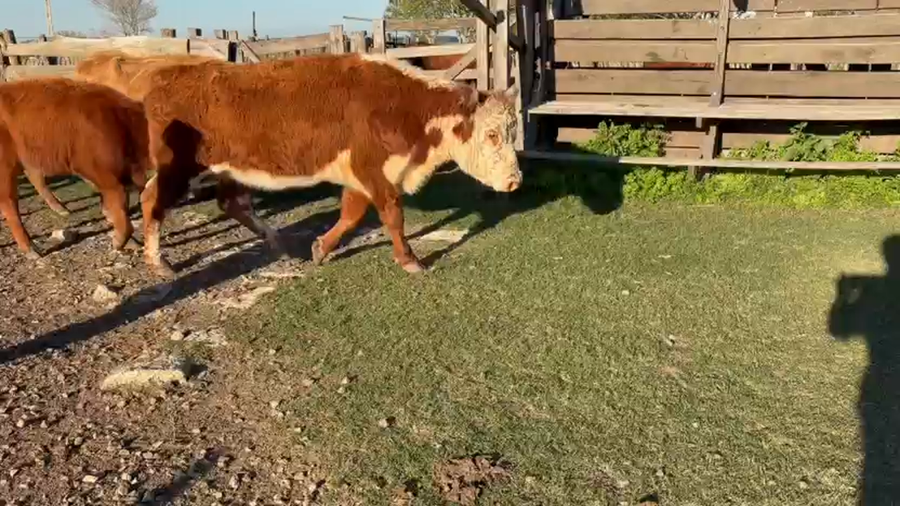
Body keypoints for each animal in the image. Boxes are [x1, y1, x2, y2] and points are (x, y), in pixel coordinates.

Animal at [0, 77, 150, 259]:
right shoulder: (104, 175)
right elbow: (120, 205)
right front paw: (117, 243)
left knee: (34, 179)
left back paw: (62, 210)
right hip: (6, 165)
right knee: (9, 203)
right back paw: (32, 250)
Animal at [135, 52, 522, 278]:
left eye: (513, 129)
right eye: (491, 134)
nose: (515, 180)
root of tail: (165, 79)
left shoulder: (363, 175)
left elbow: (351, 214)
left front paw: (320, 248)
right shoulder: (373, 171)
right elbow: (392, 216)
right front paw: (410, 259)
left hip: (231, 168)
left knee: (232, 202)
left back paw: (278, 242)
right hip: (178, 167)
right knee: (151, 199)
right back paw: (159, 263)